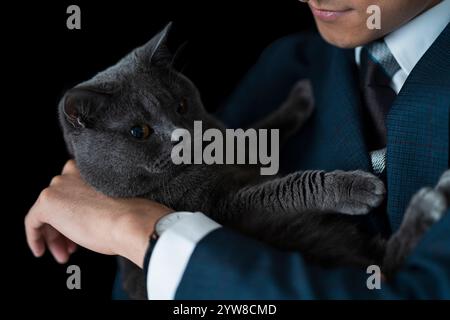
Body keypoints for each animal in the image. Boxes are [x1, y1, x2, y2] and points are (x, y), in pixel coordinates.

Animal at [58, 23, 450, 300]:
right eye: (139, 131)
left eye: (181, 105)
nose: (184, 136)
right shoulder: (224, 206)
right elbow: (287, 187)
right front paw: (358, 187)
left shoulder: (230, 139)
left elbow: (254, 133)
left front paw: (300, 98)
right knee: (388, 271)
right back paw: (429, 202)